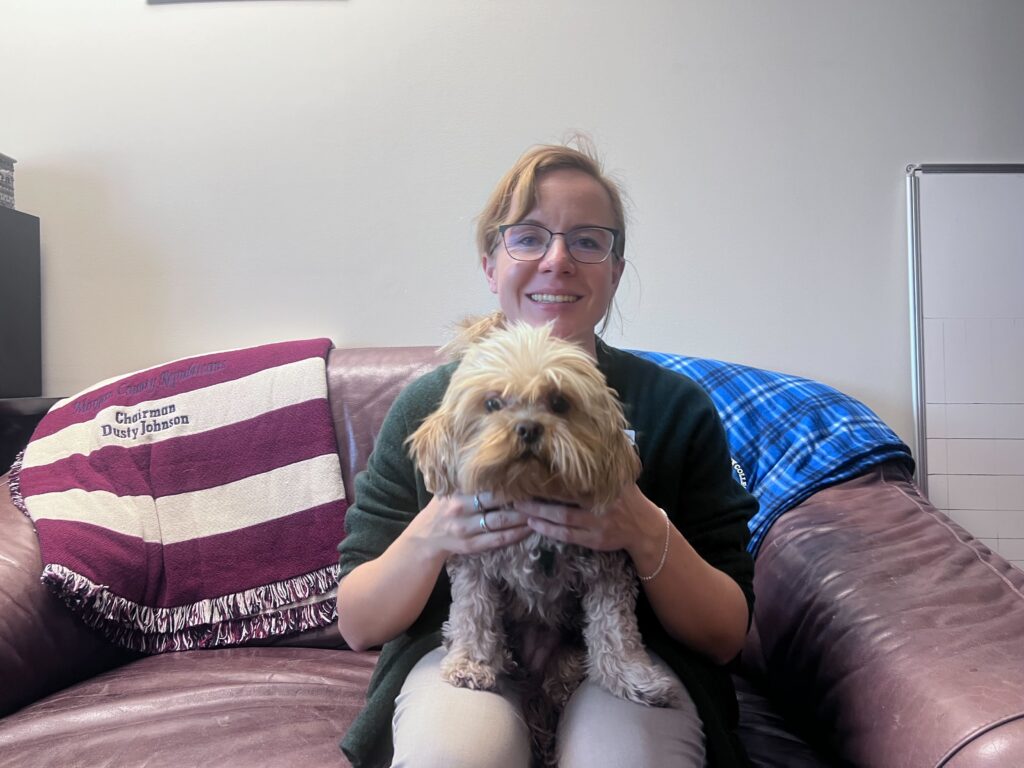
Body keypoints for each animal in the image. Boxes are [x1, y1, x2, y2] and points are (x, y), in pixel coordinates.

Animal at [407, 313, 679, 765]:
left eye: (559, 402)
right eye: (492, 403)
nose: (528, 428)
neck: (531, 494)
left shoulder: (608, 569)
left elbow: (616, 631)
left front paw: (633, 677)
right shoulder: (475, 565)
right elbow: (474, 614)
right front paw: (472, 664)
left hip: (566, 656)